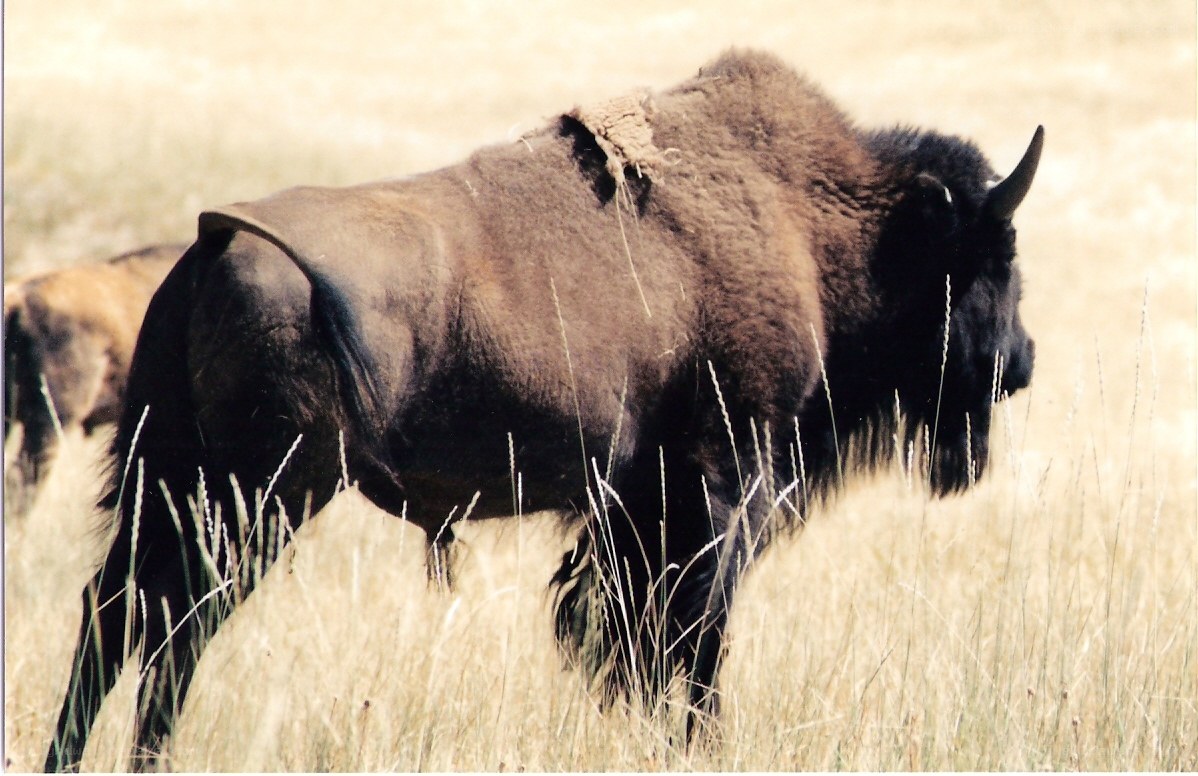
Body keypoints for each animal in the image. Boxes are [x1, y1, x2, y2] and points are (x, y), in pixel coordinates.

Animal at [45, 50, 1040, 771]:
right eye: (992, 254)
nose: (1021, 363)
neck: (814, 222)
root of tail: (214, 239)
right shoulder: (719, 490)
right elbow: (690, 641)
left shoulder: (634, 510)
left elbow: (632, 640)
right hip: (258, 500)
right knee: (173, 627)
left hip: (167, 482)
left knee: (118, 615)